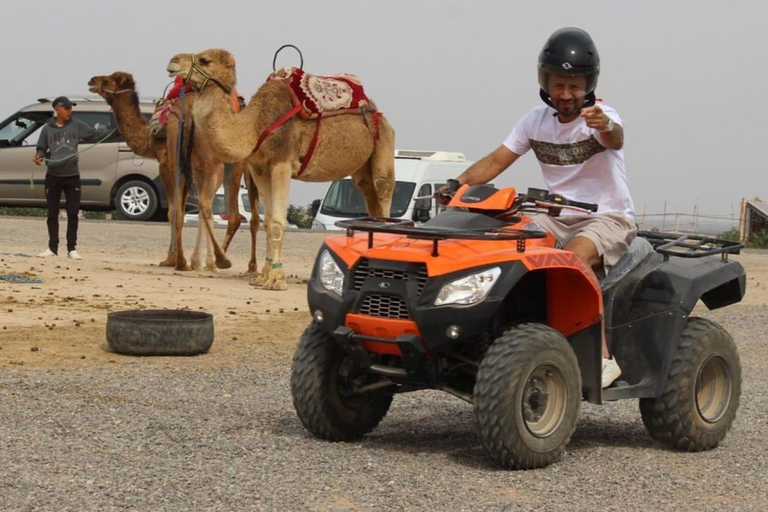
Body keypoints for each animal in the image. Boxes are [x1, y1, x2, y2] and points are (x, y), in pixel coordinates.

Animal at [85, 70, 256, 274]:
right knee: (228, 214)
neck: (148, 138)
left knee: (207, 208)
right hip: (230, 162)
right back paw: (213, 260)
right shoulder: (188, 167)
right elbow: (183, 208)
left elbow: (173, 211)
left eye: (109, 80)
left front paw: (171, 259)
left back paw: (208, 260)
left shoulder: (165, 163)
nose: (91, 80)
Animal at [169, 49, 396, 290]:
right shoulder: (259, 169)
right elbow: (268, 222)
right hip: (362, 169)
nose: (173, 61)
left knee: (383, 189)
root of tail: (377, 112)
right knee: (369, 196)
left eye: (205, 60)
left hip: (384, 143)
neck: (255, 125)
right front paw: (263, 276)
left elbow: (278, 223)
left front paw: (277, 279)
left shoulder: (282, 164)